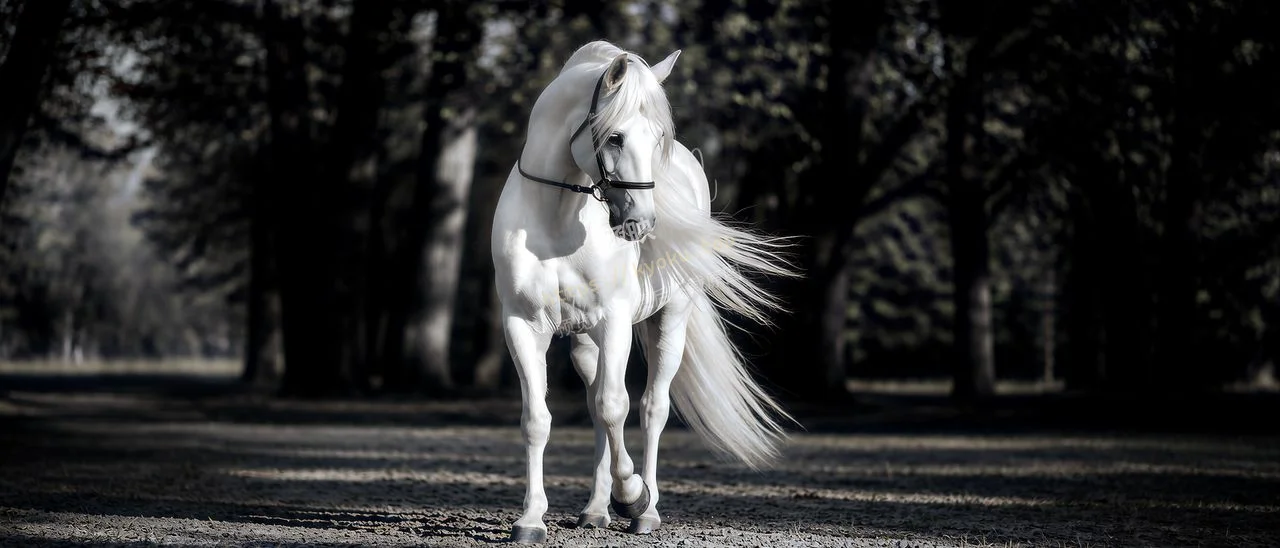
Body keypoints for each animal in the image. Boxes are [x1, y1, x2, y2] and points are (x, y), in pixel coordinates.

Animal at [490, 40, 803, 544]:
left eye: (657, 137)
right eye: (614, 137)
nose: (641, 221)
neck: (556, 219)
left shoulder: (615, 320)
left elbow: (616, 406)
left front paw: (633, 495)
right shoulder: (522, 325)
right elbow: (538, 419)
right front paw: (531, 519)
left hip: (668, 319)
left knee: (650, 408)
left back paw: (645, 511)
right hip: (586, 339)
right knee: (596, 407)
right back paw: (596, 510)